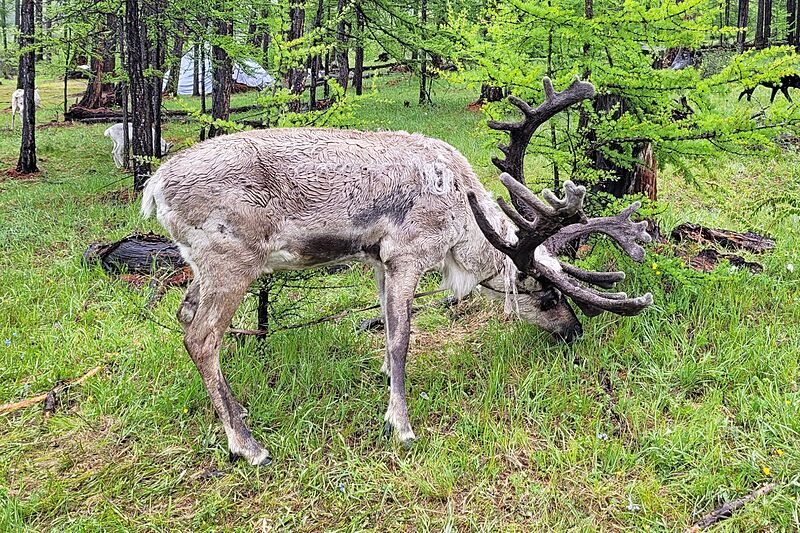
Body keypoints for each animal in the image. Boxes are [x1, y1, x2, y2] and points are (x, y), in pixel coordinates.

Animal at [141, 78, 653, 465]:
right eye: (547, 297)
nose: (573, 331)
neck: (462, 219)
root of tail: (154, 187)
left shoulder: (379, 261)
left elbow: (387, 328)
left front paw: (388, 385)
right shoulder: (408, 255)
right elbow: (402, 337)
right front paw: (402, 425)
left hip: (200, 264)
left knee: (184, 315)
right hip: (231, 260)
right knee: (202, 336)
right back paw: (249, 446)